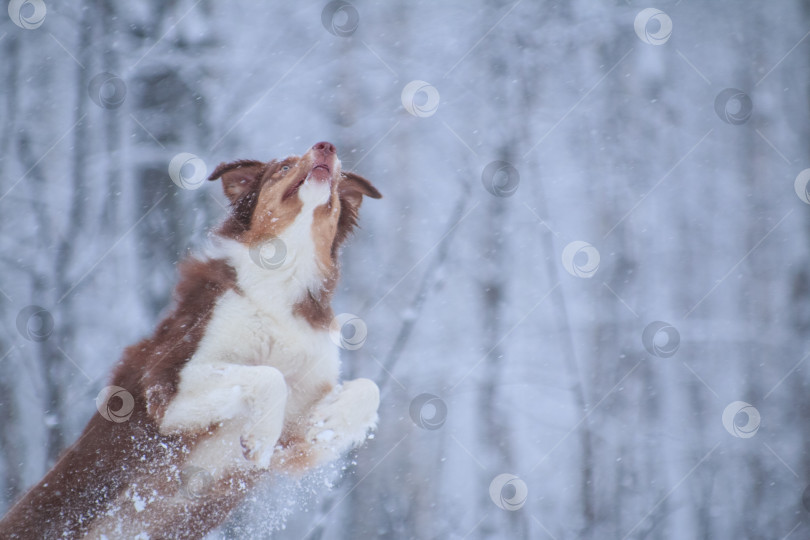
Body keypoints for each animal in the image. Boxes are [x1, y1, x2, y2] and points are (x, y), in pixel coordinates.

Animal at [0, 141, 382, 536]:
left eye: (338, 177)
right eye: (284, 167)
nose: (326, 146)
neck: (282, 278)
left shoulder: (293, 442)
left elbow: (369, 391)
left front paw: (330, 420)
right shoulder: (169, 388)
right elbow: (269, 376)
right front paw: (260, 436)